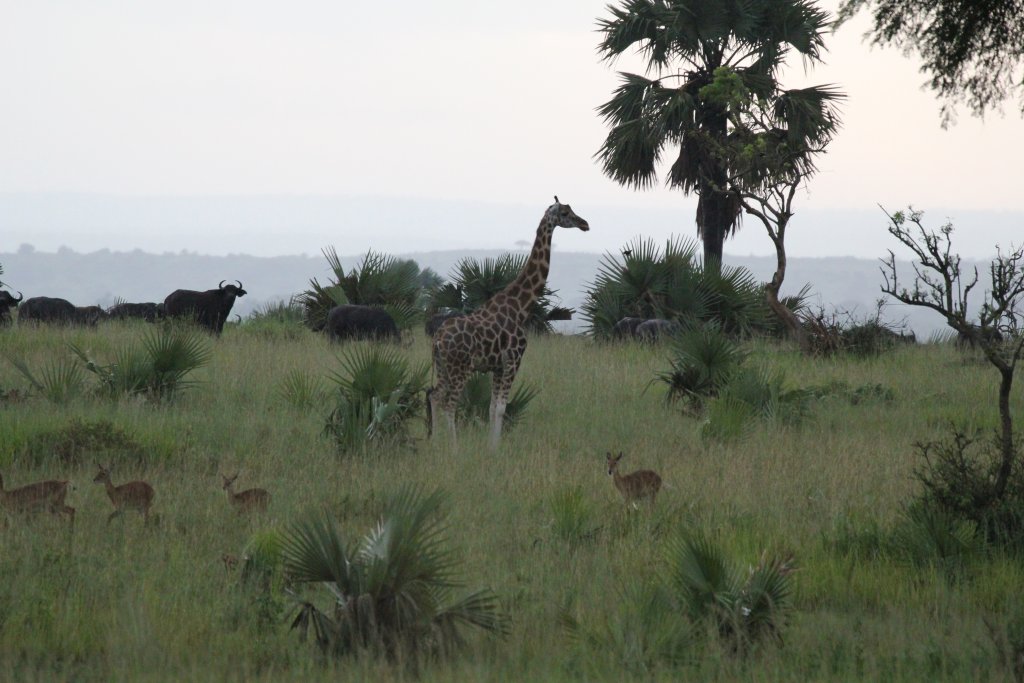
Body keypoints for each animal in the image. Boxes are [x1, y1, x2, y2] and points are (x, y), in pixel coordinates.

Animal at [429, 197, 589, 449]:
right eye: (565, 213)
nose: (585, 224)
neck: (521, 306)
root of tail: (437, 340)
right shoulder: (514, 359)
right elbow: (502, 408)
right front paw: (495, 449)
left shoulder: (497, 366)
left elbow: (492, 407)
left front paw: (490, 447)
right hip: (460, 368)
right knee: (449, 404)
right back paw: (454, 449)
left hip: (443, 366)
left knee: (434, 396)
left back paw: (434, 443)